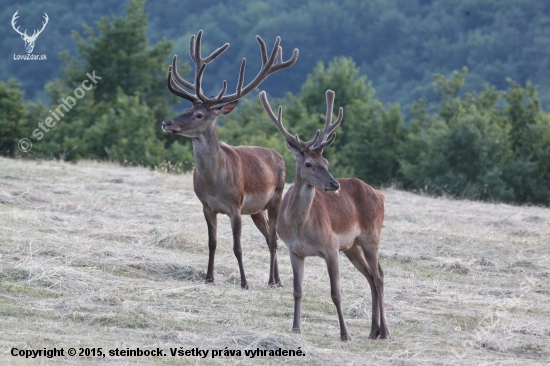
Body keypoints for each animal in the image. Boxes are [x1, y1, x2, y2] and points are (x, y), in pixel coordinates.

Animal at [163, 30, 300, 288]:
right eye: (186, 109)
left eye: (199, 114)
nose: (167, 122)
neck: (215, 183)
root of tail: (278, 155)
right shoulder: (206, 206)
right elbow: (212, 243)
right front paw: (209, 277)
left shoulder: (236, 206)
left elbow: (237, 247)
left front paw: (244, 282)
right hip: (256, 210)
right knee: (268, 236)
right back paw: (276, 279)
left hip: (276, 198)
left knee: (274, 239)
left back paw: (273, 281)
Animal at [260, 90, 390, 342]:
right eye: (309, 163)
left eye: (326, 161)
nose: (334, 184)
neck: (300, 228)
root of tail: (380, 194)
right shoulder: (294, 251)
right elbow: (297, 290)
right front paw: (296, 328)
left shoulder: (331, 247)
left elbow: (336, 293)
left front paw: (345, 334)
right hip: (351, 246)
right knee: (370, 276)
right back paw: (373, 331)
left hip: (371, 236)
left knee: (379, 276)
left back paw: (385, 332)